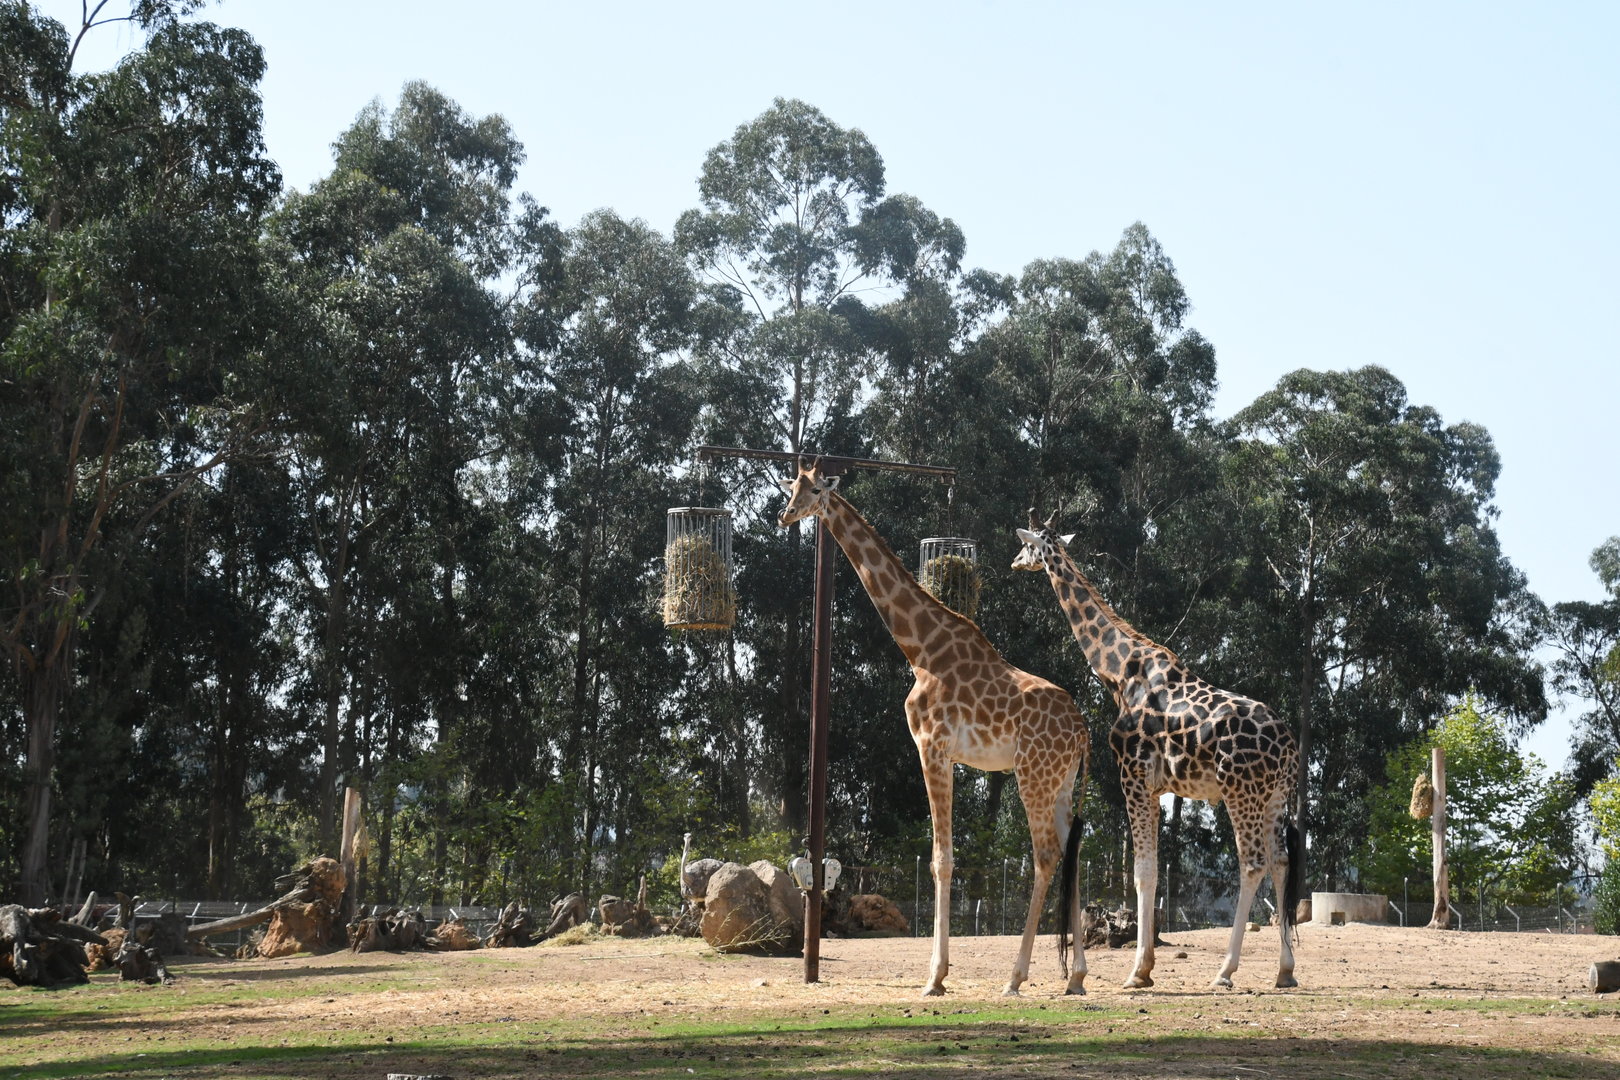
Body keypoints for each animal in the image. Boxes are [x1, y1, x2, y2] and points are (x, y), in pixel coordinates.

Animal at [778, 463, 1090, 997]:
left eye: (815, 489)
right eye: (791, 487)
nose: (785, 514)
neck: (919, 648)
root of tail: (1084, 730)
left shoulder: (932, 745)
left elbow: (941, 859)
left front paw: (935, 977)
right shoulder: (941, 750)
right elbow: (944, 857)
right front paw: (939, 973)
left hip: (1032, 773)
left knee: (1047, 854)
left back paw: (1015, 978)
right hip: (1061, 779)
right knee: (1070, 849)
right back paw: (1076, 978)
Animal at [1012, 513, 1302, 990]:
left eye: (1028, 545)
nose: (1016, 562)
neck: (1117, 672)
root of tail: (1289, 747)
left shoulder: (1131, 774)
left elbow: (1143, 872)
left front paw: (1137, 972)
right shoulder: (1157, 787)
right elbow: (1152, 871)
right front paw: (1145, 968)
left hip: (1240, 791)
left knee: (1253, 863)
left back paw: (1225, 971)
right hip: (1275, 795)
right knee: (1279, 861)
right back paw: (1285, 971)